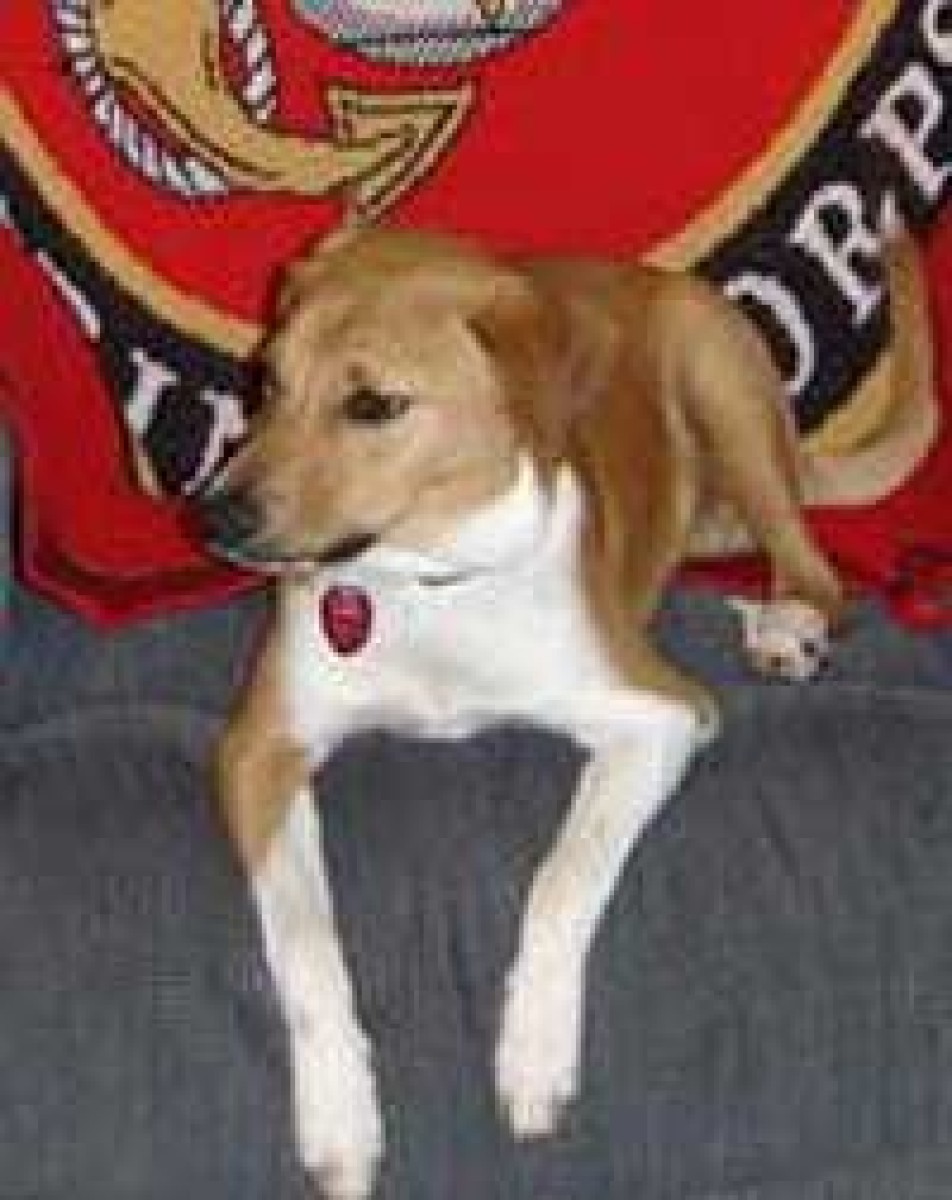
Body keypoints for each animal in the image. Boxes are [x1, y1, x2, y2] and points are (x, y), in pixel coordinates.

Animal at [199, 223, 922, 1199]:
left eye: (374, 405)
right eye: (267, 381)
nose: (212, 519)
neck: (426, 581)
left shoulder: (659, 713)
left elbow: (559, 880)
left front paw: (533, 1055)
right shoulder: (258, 748)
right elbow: (304, 937)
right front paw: (340, 1114)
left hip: (720, 379)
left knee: (813, 564)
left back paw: (788, 621)